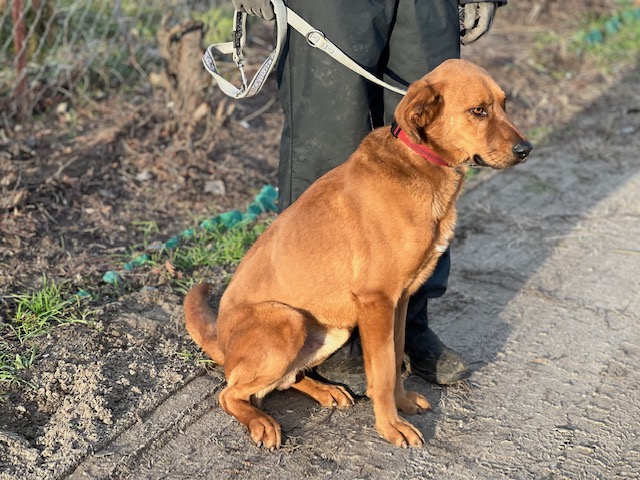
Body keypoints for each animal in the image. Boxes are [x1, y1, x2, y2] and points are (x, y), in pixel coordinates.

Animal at [184, 59, 532, 449]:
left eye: (504, 104)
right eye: (478, 111)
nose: (527, 149)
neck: (419, 163)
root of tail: (223, 344)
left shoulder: (400, 301)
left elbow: (396, 356)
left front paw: (402, 404)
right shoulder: (376, 301)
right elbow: (382, 370)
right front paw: (390, 426)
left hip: (329, 329)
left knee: (283, 380)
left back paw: (324, 391)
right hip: (287, 321)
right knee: (231, 393)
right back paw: (261, 422)